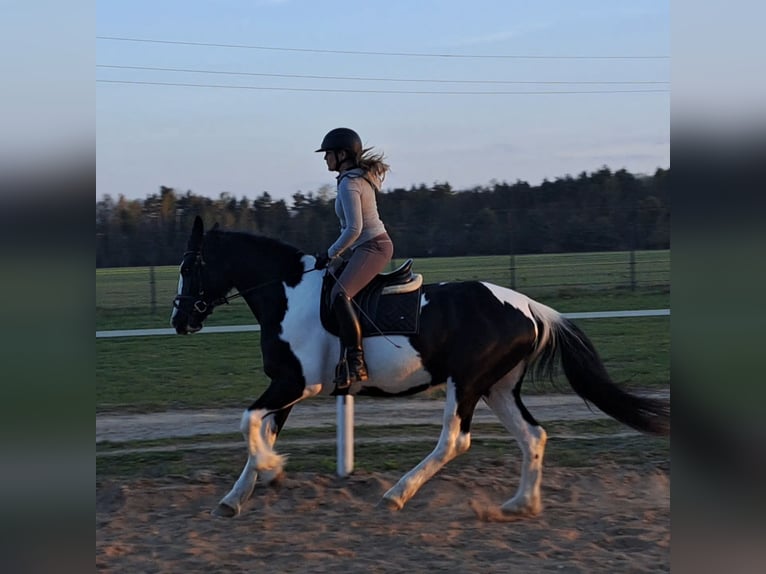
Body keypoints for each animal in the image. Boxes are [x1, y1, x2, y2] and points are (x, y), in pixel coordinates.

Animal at [171, 216, 669, 518]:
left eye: (189, 266)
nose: (180, 320)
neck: (288, 294)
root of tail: (529, 307)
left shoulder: (296, 383)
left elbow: (248, 422)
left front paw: (273, 470)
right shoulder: (286, 386)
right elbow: (261, 429)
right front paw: (234, 499)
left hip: (466, 383)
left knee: (455, 440)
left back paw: (397, 494)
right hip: (497, 388)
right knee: (533, 435)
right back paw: (520, 504)